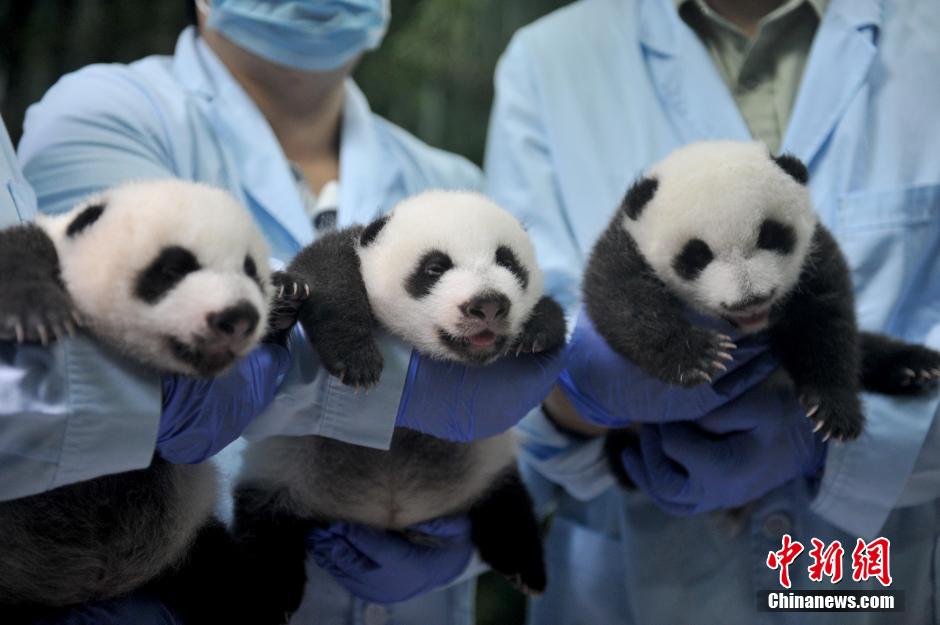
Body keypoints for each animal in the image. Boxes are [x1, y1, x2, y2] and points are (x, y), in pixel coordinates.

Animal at [0, 179, 298, 624]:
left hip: (188, 541)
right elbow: (21, 251)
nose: (237, 317)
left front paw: (286, 300)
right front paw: (35, 313)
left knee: (228, 584)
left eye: (250, 271)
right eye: (175, 268)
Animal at [231, 190, 567, 624]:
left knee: (507, 505)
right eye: (435, 267)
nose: (489, 305)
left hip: (485, 470)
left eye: (507, 261)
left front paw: (537, 330)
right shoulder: (353, 250)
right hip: (280, 476)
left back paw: (526, 568)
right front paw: (356, 358)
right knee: (265, 538)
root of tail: (385, 518)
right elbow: (327, 272)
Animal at [582, 141, 940, 485]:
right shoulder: (625, 246)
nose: (750, 298)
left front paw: (834, 410)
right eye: (697, 255)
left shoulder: (814, 255)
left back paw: (916, 367)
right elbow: (621, 299)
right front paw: (700, 355)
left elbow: (826, 324)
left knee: (865, 347)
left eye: (771, 235)